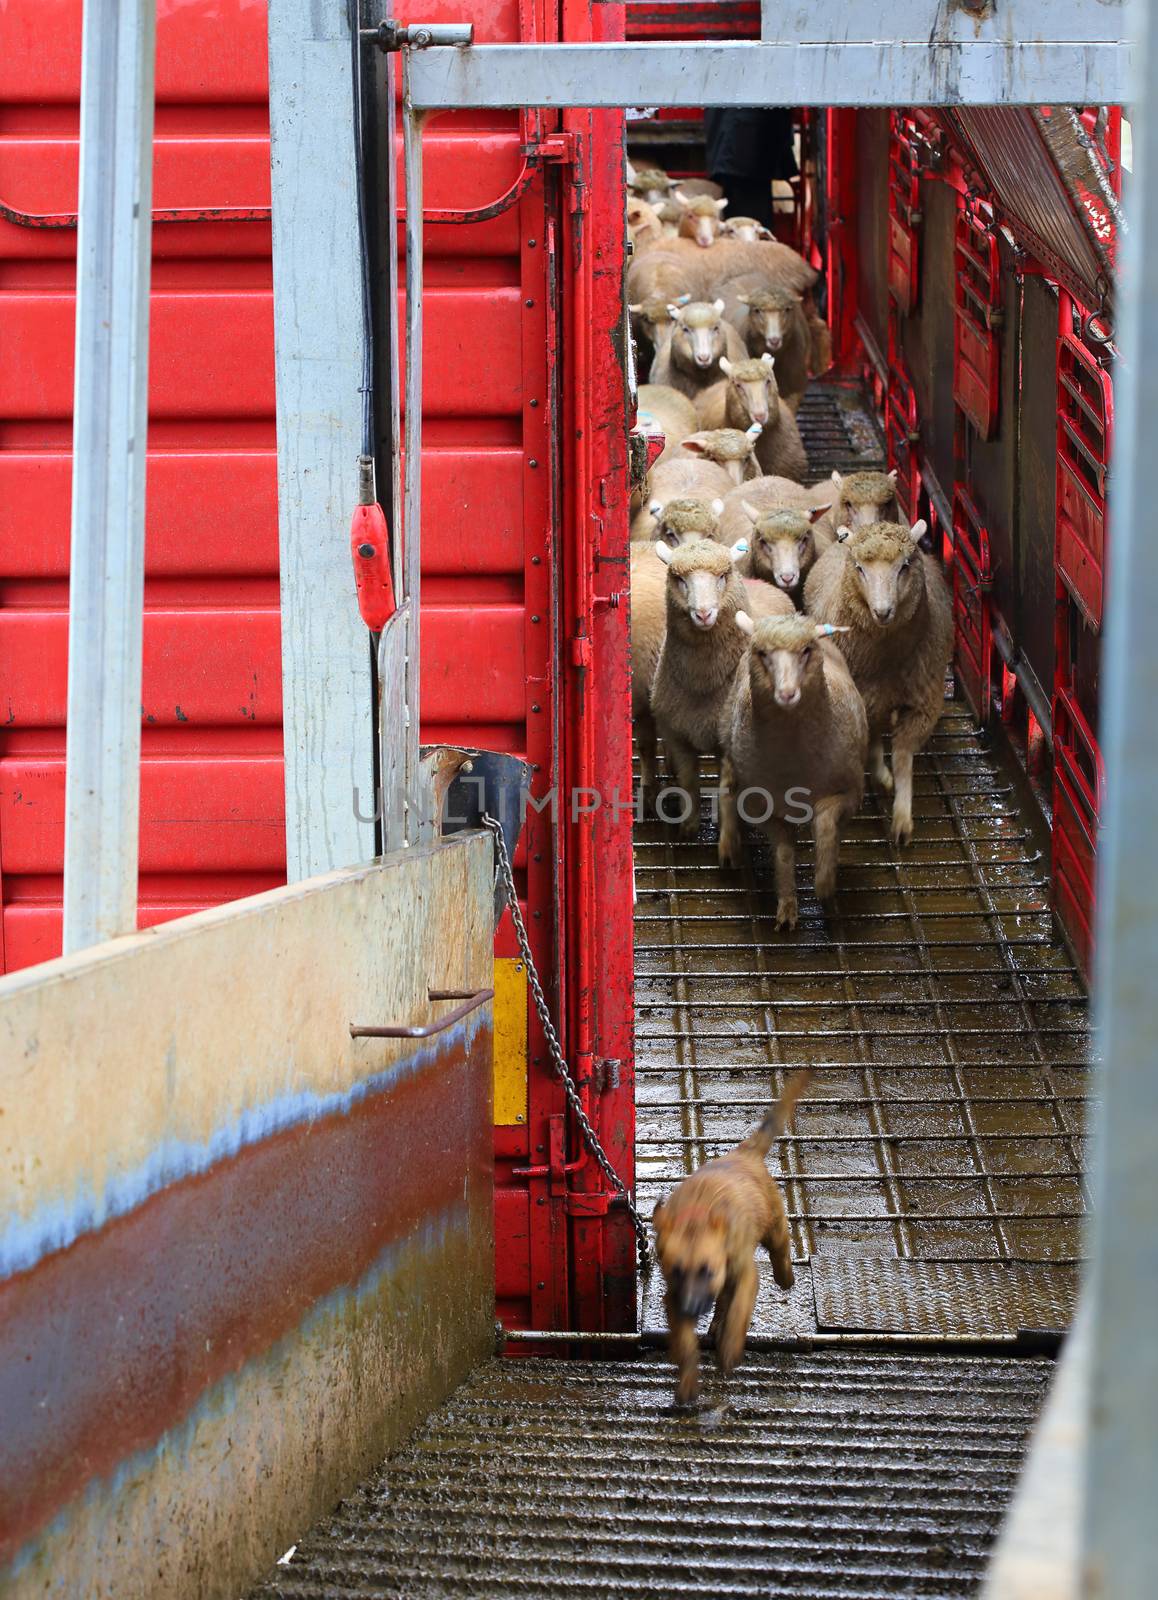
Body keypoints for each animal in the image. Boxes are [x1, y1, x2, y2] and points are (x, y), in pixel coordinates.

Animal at [652, 1075, 815, 1401]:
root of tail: (744, 1153)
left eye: (706, 1271)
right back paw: (716, 1325)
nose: (691, 1310)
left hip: (774, 1225)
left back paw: (785, 1277)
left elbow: (740, 1310)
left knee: (780, 1250)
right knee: (723, 1300)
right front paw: (687, 1380)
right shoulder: (673, 1296)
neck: (696, 1218)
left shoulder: (745, 1274)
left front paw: (728, 1349)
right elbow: (685, 1343)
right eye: (675, 1271)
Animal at [713, 614, 870, 934]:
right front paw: (787, 905)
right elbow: (784, 853)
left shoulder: (849, 794)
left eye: (806, 650)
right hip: (728, 732)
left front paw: (824, 882)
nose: (787, 693)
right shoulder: (761, 809)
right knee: (727, 783)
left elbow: (824, 822)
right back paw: (728, 843)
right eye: (763, 653)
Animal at [799, 524, 953, 851]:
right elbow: (871, 743)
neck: (886, 659)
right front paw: (881, 776)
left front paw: (902, 818)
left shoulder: (924, 703)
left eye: (904, 566)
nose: (883, 611)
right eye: (860, 568)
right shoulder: (864, 700)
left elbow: (903, 756)